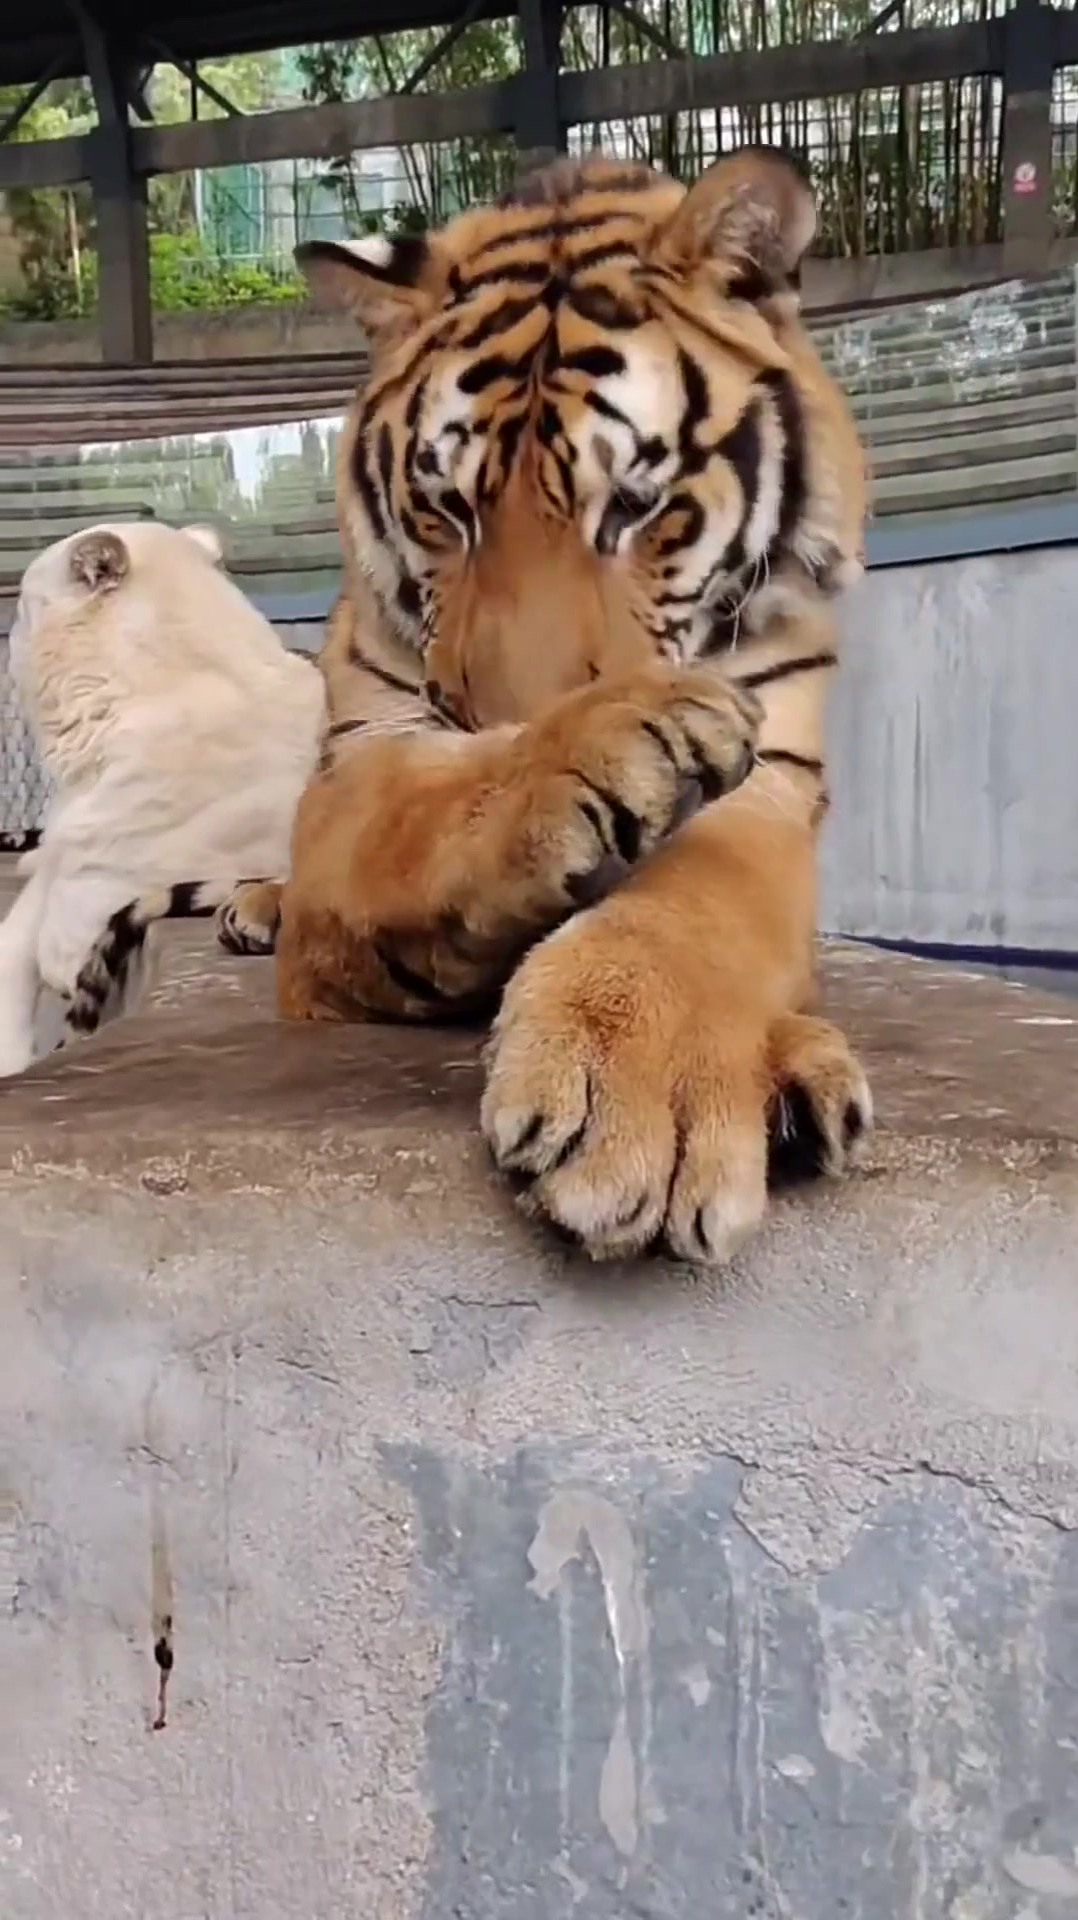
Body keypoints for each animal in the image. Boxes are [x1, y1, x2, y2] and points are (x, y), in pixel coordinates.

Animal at [70, 146, 873, 1265]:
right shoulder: (362, 764)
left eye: (634, 506)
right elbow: (428, 810)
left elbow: (705, 896)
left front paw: (665, 1076)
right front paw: (597, 746)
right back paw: (258, 905)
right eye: (447, 508)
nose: (509, 711)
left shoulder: (775, 784)